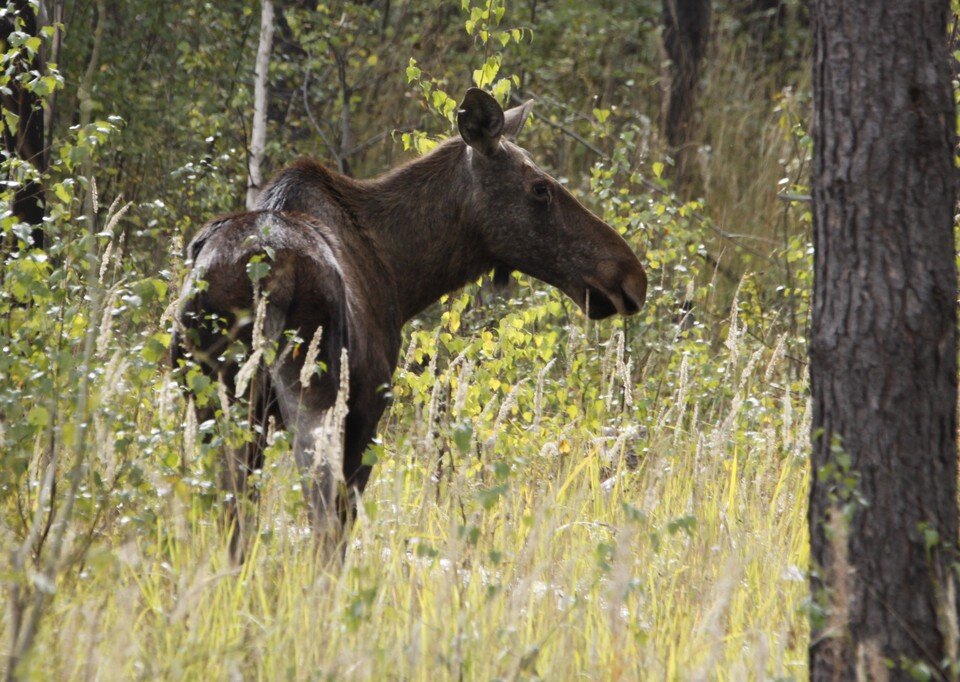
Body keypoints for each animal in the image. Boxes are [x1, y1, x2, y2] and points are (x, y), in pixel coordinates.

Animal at [176, 89, 648, 556]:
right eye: (540, 188)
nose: (630, 275)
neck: (403, 276)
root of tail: (265, 269)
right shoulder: (366, 415)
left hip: (219, 404)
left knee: (235, 517)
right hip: (316, 395)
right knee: (321, 517)